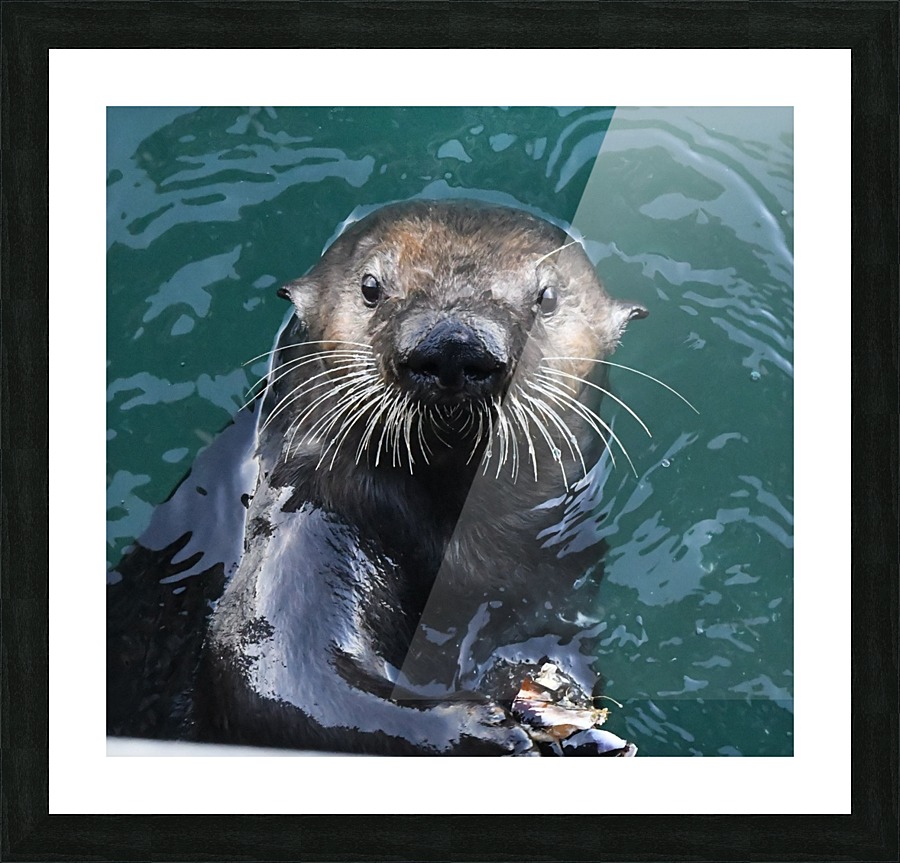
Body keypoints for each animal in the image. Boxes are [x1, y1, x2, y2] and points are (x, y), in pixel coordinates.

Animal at [185, 200, 646, 756]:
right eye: (370, 286)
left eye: (548, 296)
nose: (454, 343)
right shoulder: (306, 516)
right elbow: (274, 675)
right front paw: (483, 727)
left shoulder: (558, 567)